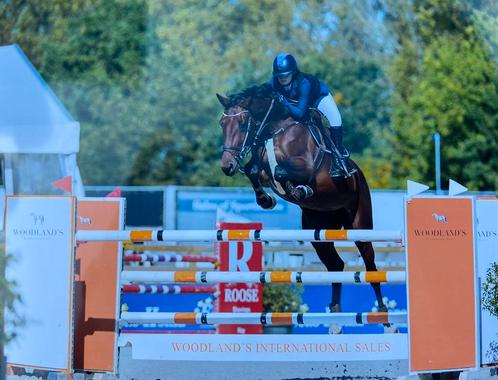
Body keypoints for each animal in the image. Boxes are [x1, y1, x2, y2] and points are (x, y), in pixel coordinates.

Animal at [216, 85, 388, 314]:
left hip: (360, 224)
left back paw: (383, 312)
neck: (273, 129)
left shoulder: (305, 166)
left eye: (243, 123)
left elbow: (281, 171)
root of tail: (359, 174)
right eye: (222, 124)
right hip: (317, 232)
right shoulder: (262, 170)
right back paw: (335, 313)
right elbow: (254, 170)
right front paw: (266, 200)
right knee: (335, 265)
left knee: (370, 265)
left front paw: (301, 191)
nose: (227, 166)